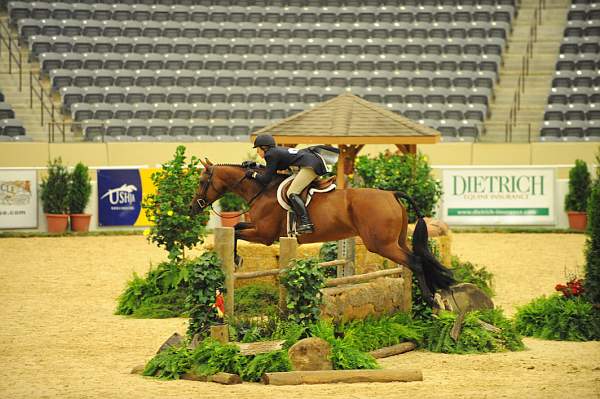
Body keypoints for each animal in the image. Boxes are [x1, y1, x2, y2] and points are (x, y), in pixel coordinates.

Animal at [190, 159, 452, 306]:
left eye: (202, 181)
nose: (193, 208)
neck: (261, 190)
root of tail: (391, 194)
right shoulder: (263, 232)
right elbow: (236, 228)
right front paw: (236, 258)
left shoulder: (265, 235)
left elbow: (235, 231)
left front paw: (236, 259)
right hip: (395, 241)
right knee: (419, 260)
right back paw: (437, 295)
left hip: (381, 245)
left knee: (415, 262)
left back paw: (431, 299)